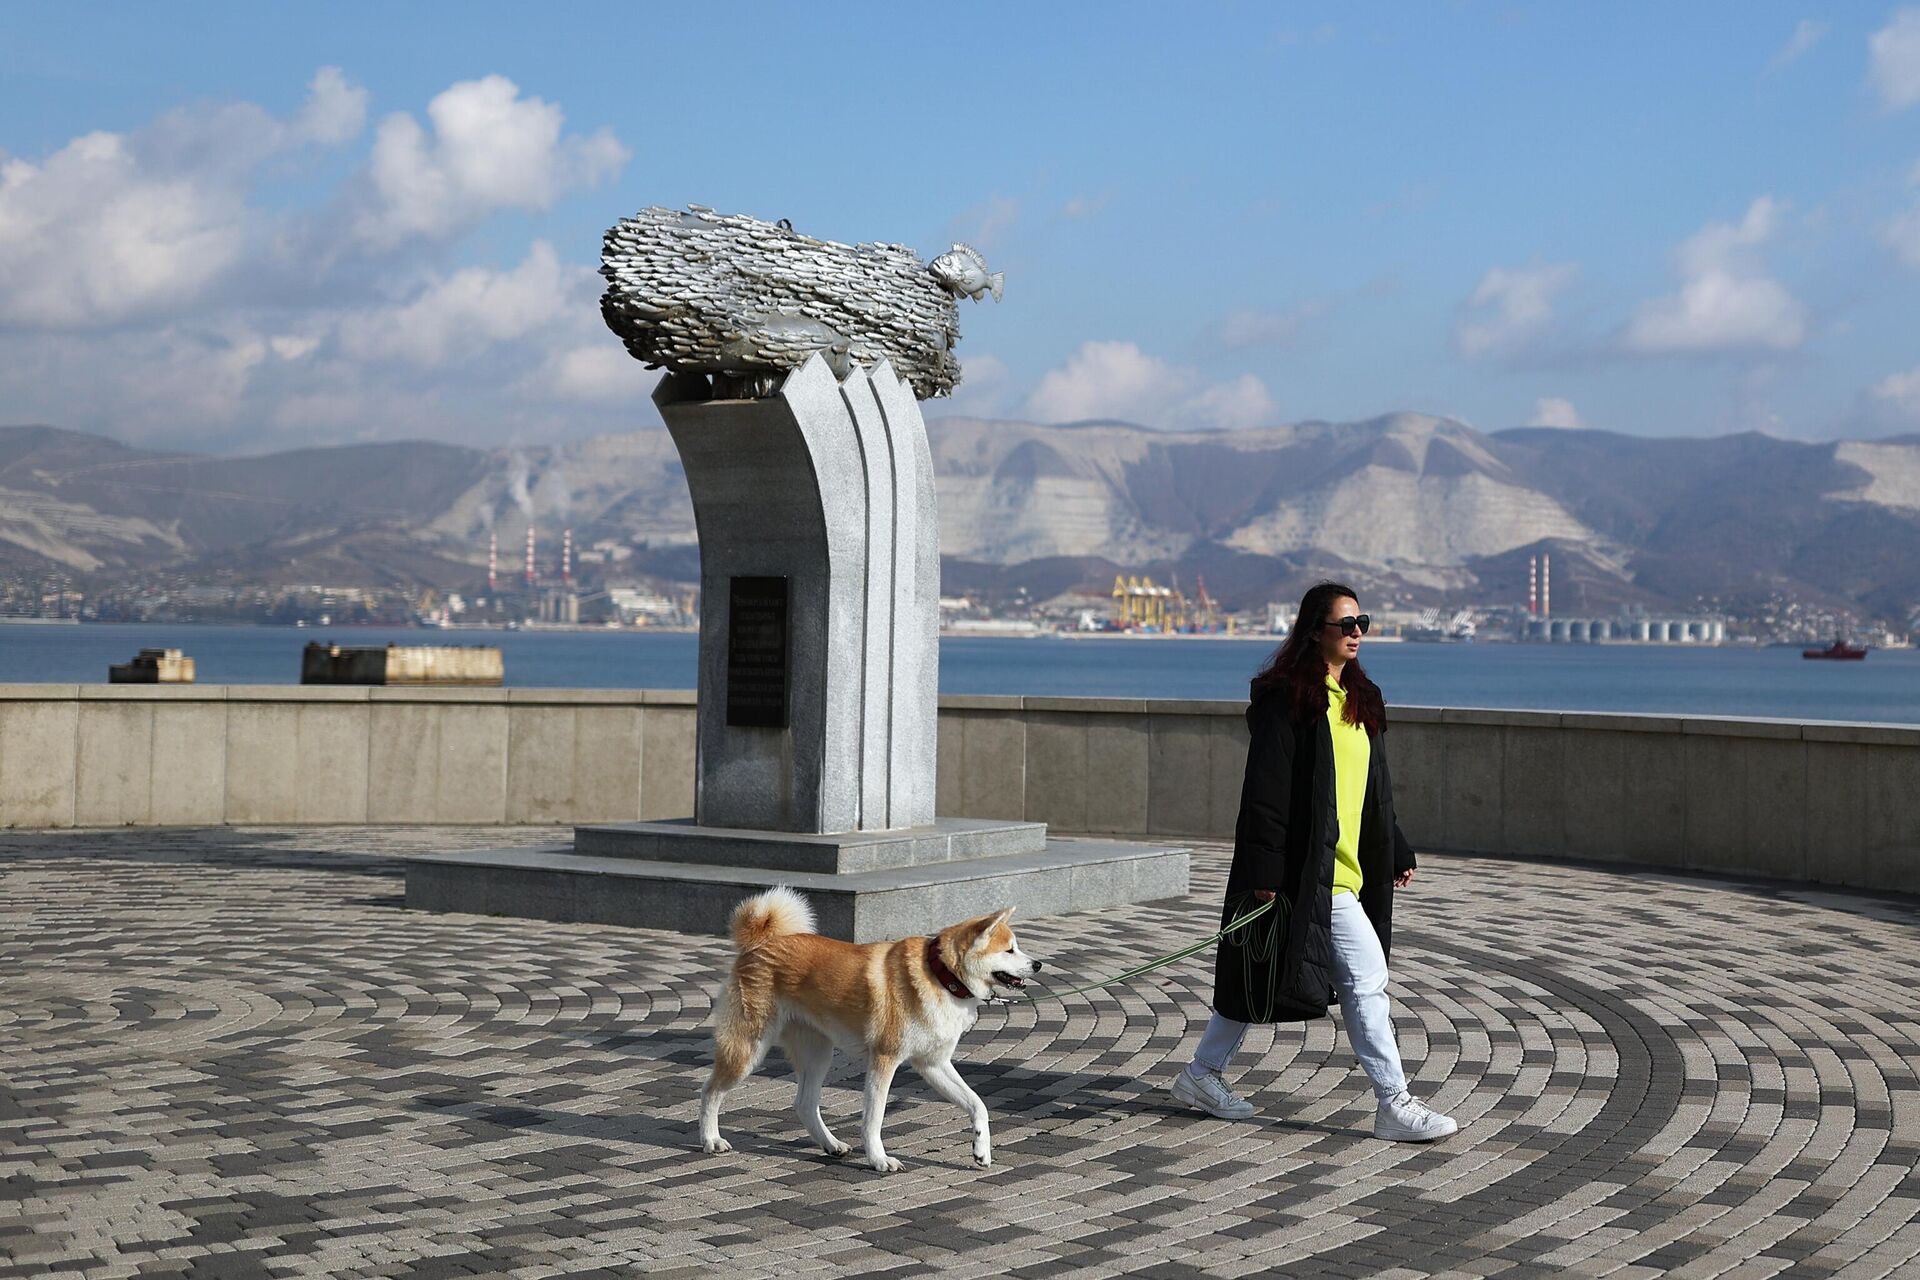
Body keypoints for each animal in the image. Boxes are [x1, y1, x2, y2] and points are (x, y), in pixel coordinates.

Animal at [698, 890, 1044, 1174]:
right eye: (1010, 950)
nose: (1039, 964)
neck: (940, 975)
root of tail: (759, 944)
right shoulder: (885, 1059)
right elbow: (874, 1118)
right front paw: (879, 1159)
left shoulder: (933, 1064)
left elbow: (978, 1104)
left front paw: (981, 1149)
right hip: (749, 1048)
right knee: (710, 1091)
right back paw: (711, 1139)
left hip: (817, 1054)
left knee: (805, 1104)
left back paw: (831, 1144)